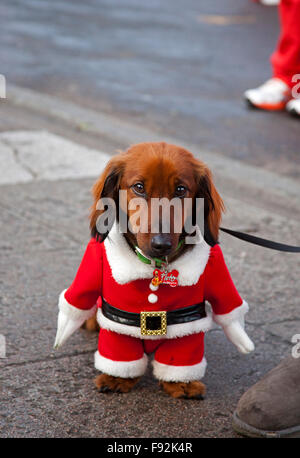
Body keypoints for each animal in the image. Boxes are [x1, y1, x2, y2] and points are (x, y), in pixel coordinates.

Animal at [54, 141, 253, 398]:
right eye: (139, 187)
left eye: (180, 189)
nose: (161, 244)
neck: (155, 268)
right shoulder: (117, 325)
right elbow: (118, 352)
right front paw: (117, 378)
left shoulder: (188, 323)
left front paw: (182, 383)